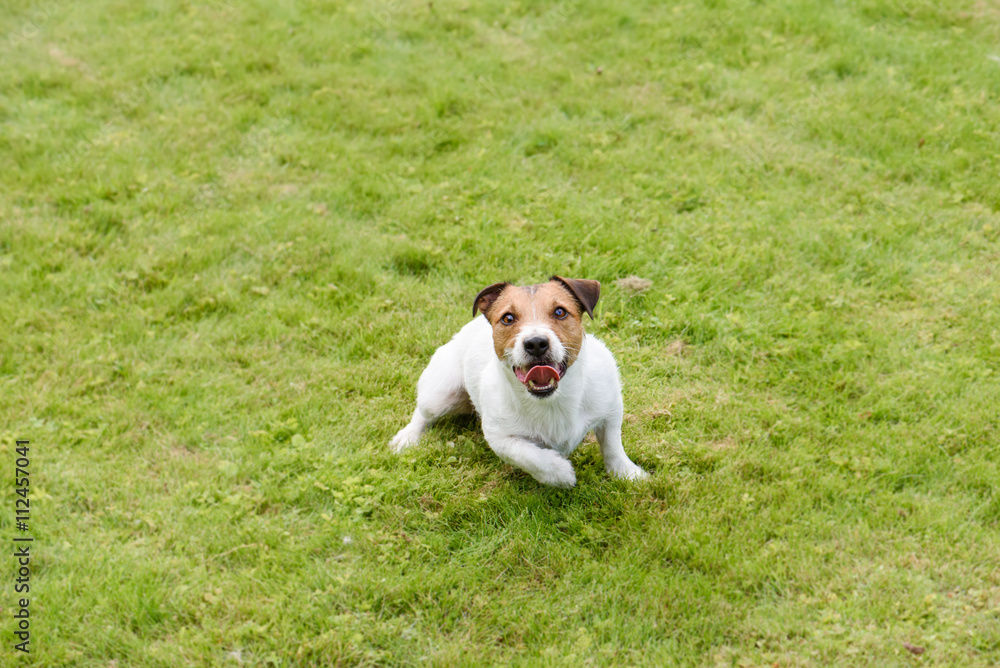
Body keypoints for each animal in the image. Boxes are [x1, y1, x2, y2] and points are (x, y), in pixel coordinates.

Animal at [390, 274, 648, 488]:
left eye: (560, 312)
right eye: (508, 318)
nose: (536, 343)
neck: (552, 400)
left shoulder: (611, 409)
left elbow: (612, 445)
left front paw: (628, 473)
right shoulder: (499, 437)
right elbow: (529, 455)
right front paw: (560, 474)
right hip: (441, 395)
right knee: (422, 414)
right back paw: (407, 438)